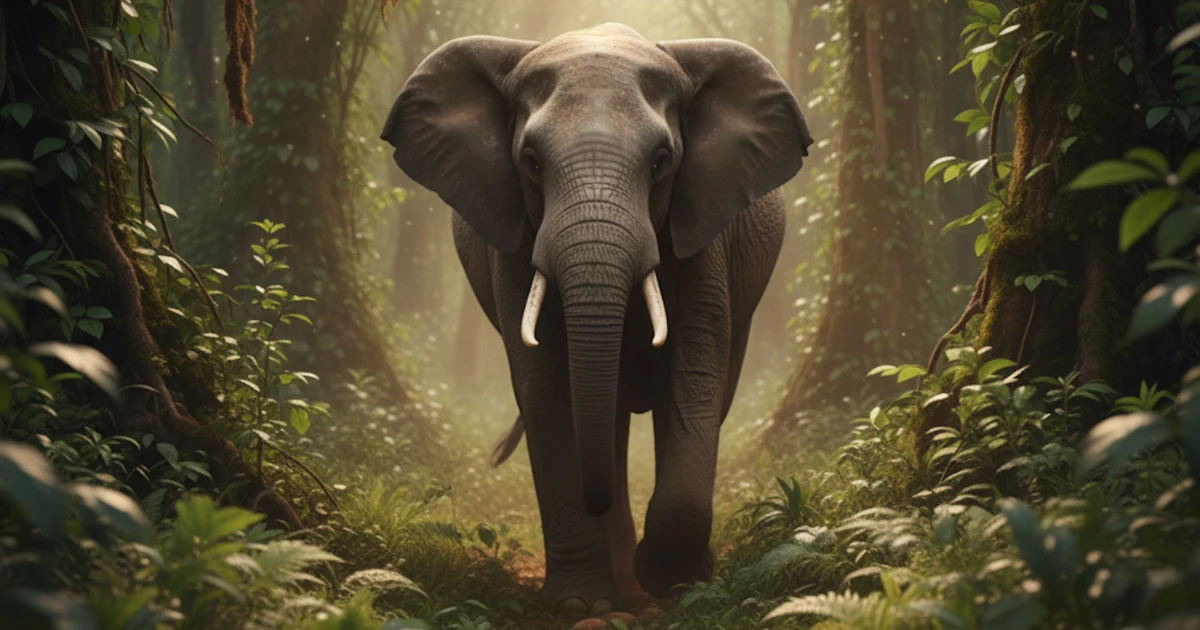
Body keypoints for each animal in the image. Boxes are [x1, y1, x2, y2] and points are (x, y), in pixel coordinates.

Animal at [381, 22, 812, 615]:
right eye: (531, 161)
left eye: (661, 161)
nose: (597, 502)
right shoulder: (512, 239)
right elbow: (545, 389)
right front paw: (582, 605)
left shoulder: (705, 229)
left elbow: (694, 377)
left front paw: (676, 581)